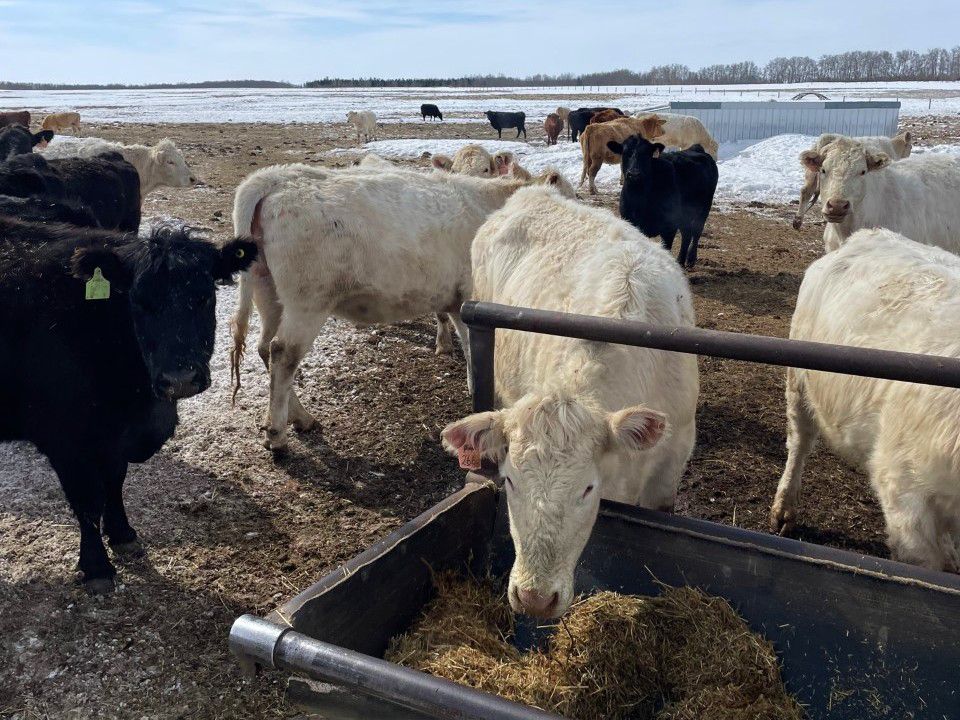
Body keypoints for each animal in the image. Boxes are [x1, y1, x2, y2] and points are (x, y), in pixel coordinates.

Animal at [0, 217, 255, 591]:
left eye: (204, 297)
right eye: (139, 301)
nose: (180, 378)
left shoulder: (115, 438)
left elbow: (114, 482)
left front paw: (122, 534)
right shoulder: (65, 440)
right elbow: (88, 499)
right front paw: (97, 567)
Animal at [229, 162, 574, 452]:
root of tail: (276, 177)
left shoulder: (456, 300)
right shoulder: (471, 294)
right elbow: (476, 349)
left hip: (268, 292)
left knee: (265, 348)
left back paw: (300, 417)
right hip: (308, 300)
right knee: (283, 353)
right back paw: (277, 434)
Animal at [608, 135, 718, 269]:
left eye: (647, 154)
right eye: (625, 153)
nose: (634, 174)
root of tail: (696, 148)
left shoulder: (669, 227)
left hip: (705, 208)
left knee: (696, 231)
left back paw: (690, 260)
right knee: (686, 234)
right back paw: (680, 261)